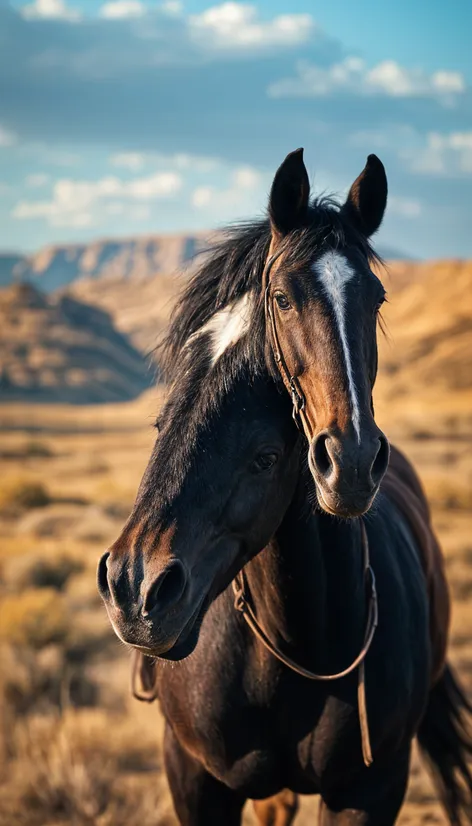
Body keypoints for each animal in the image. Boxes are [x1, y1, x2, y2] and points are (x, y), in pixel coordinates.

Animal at [97, 151, 472, 820]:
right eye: (281, 297)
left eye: (376, 299)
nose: (135, 588)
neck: (298, 645)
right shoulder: (193, 779)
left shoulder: (370, 790)